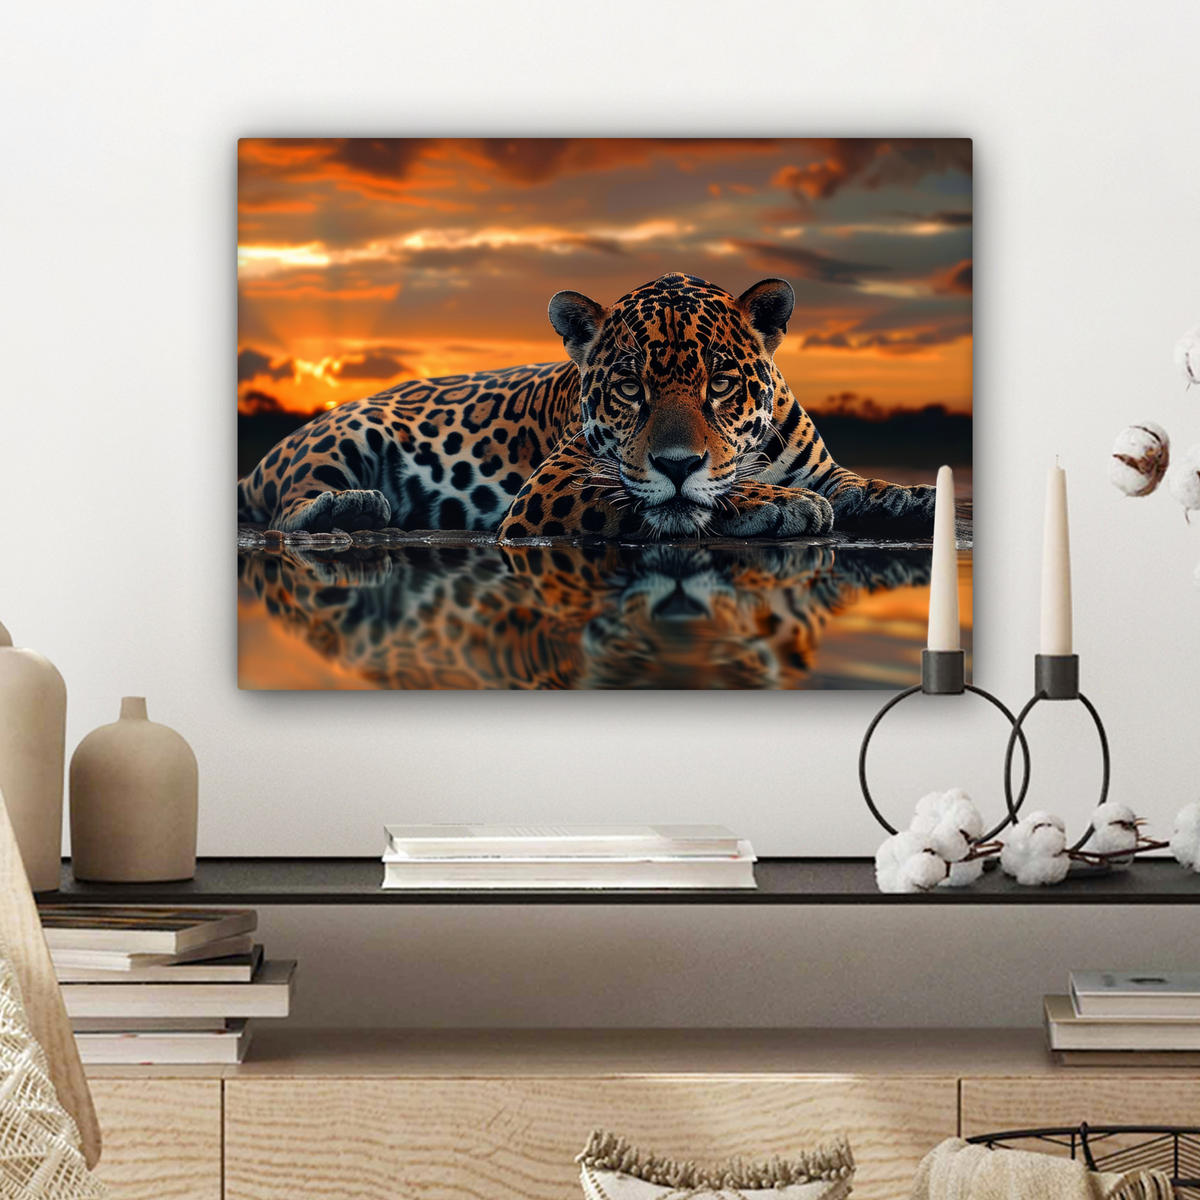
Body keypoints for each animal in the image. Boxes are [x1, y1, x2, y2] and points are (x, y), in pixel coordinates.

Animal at [237, 272, 937, 541]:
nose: (676, 463)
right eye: (629, 388)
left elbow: (854, 483)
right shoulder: (554, 485)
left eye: (720, 384)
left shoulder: (822, 466)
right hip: (345, 434)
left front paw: (907, 496)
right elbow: (670, 498)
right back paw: (353, 506)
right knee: (285, 510)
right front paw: (781, 504)